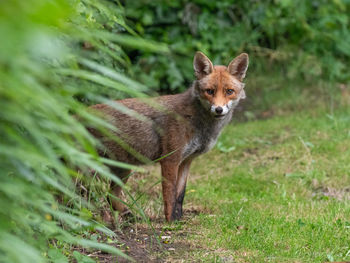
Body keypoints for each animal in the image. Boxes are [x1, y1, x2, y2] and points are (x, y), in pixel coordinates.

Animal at [89, 51, 250, 223]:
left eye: (229, 91)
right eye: (210, 91)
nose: (219, 109)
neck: (197, 122)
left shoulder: (187, 160)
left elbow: (180, 194)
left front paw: (178, 218)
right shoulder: (170, 159)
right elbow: (169, 194)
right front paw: (170, 222)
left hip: (122, 168)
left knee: (110, 197)